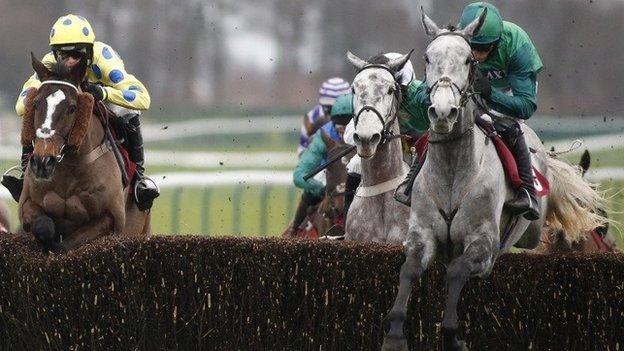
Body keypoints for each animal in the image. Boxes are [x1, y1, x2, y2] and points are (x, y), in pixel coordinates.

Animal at [19, 53, 149, 252]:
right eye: (35, 104)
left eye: (72, 108)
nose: (43, 162)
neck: (70, 167)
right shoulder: (27, 205)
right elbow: (44, 226)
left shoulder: (112, 218)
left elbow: (65, 246)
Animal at [382, 9, 608, 350]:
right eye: (427, 57)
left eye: (467, 60)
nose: (443, 112)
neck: (452, 171)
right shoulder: (421, 233)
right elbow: (408, 270)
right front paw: (394, 335)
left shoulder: (484, 245)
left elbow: (457, 271)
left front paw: (452, 335)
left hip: (532, 229)